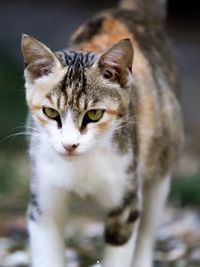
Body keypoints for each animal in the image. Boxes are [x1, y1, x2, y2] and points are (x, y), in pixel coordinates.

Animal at [21, 0, 183, 267]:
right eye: (50, 112)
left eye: (94, 114)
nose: (70, 145)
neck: (81, 167)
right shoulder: (43, 203)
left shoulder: (126, 201)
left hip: (161, 158)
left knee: (149, 224)